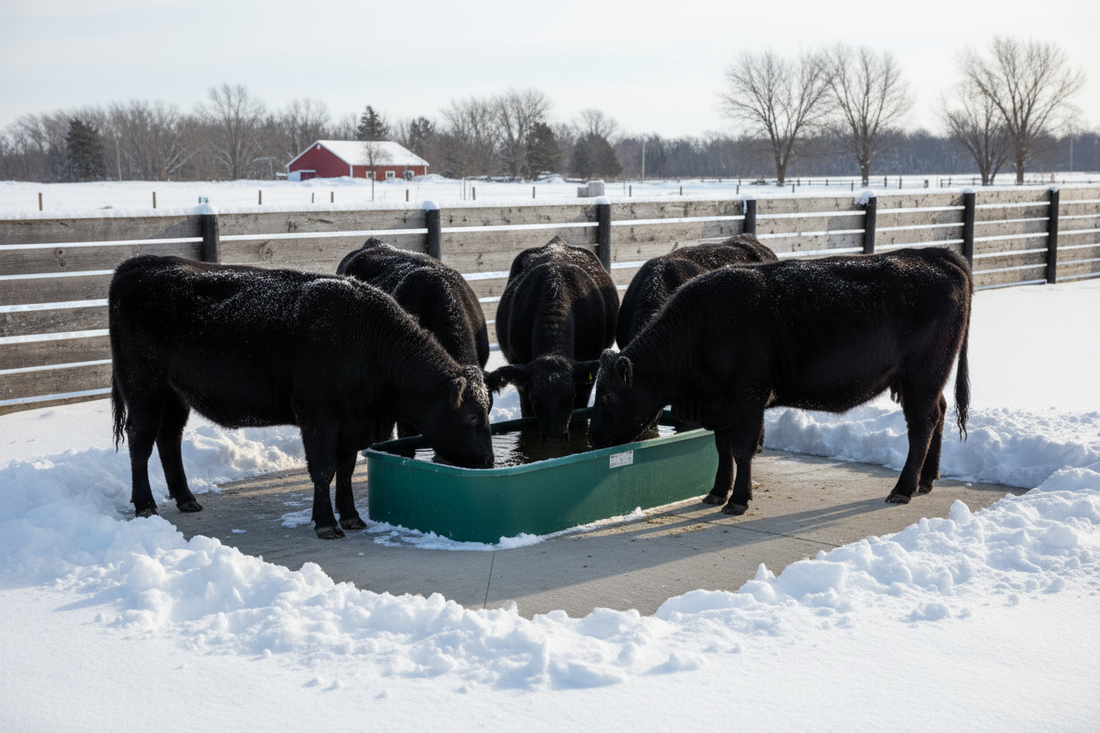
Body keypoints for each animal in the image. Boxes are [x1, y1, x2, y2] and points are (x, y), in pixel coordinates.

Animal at [589, 246, 972, 516]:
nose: (592, 438)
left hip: (922, 375)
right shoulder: (722, 405)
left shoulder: (746, 396)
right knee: (939, 414)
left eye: (606, 394)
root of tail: (937, 255)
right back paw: (926, 480)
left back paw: (903, 489)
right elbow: (723, 449)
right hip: (922, 381)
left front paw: (738, 500)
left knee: (922, 425)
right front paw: (717, 493)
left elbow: (742, 449)